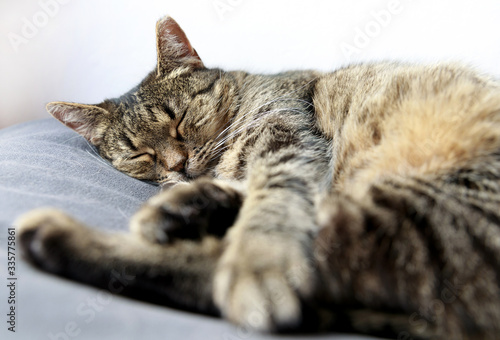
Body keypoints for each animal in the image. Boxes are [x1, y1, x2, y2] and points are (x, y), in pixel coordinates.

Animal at [15, 14, 500, 338]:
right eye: (139, 153)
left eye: (179, 120)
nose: (176, 165)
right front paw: (198, 196)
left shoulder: (286, 139)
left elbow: (272, 201)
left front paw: (253, 248)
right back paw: (182, 210)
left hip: (414, 210)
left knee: (217, 268)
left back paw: (58, 234)